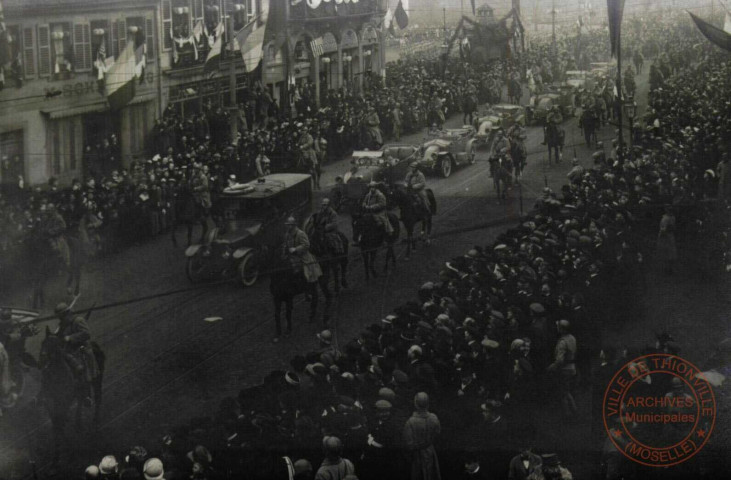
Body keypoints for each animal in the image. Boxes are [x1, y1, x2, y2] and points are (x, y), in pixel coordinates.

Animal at [39, 326, 104, 464]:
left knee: (97, 397)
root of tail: (94, 345)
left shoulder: (64, 401)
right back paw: (78, 422)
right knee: (80, 401)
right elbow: (56, 423)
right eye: (43, 343)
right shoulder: (50, 403)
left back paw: (94, 422)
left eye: (55, 345)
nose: (42, 361)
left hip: (97, 380)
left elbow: (59, 422)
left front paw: (65, 450)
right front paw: (57, 455)